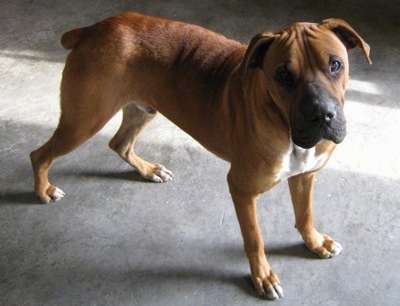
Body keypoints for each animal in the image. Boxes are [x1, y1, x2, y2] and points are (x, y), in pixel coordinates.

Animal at [29, 11, 370, 298]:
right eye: (284, 74)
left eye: (335, 65)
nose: (322, 115)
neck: (282, 120)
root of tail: (92, 29)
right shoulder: (242, 190)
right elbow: (255, 238)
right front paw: (262, 277)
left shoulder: (305, 176)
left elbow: (305, 215)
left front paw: (314, 242)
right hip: (83, 122)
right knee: (39, 155)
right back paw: (43, 190)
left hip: (141, 109)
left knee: (119, 144)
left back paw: (149, 170)